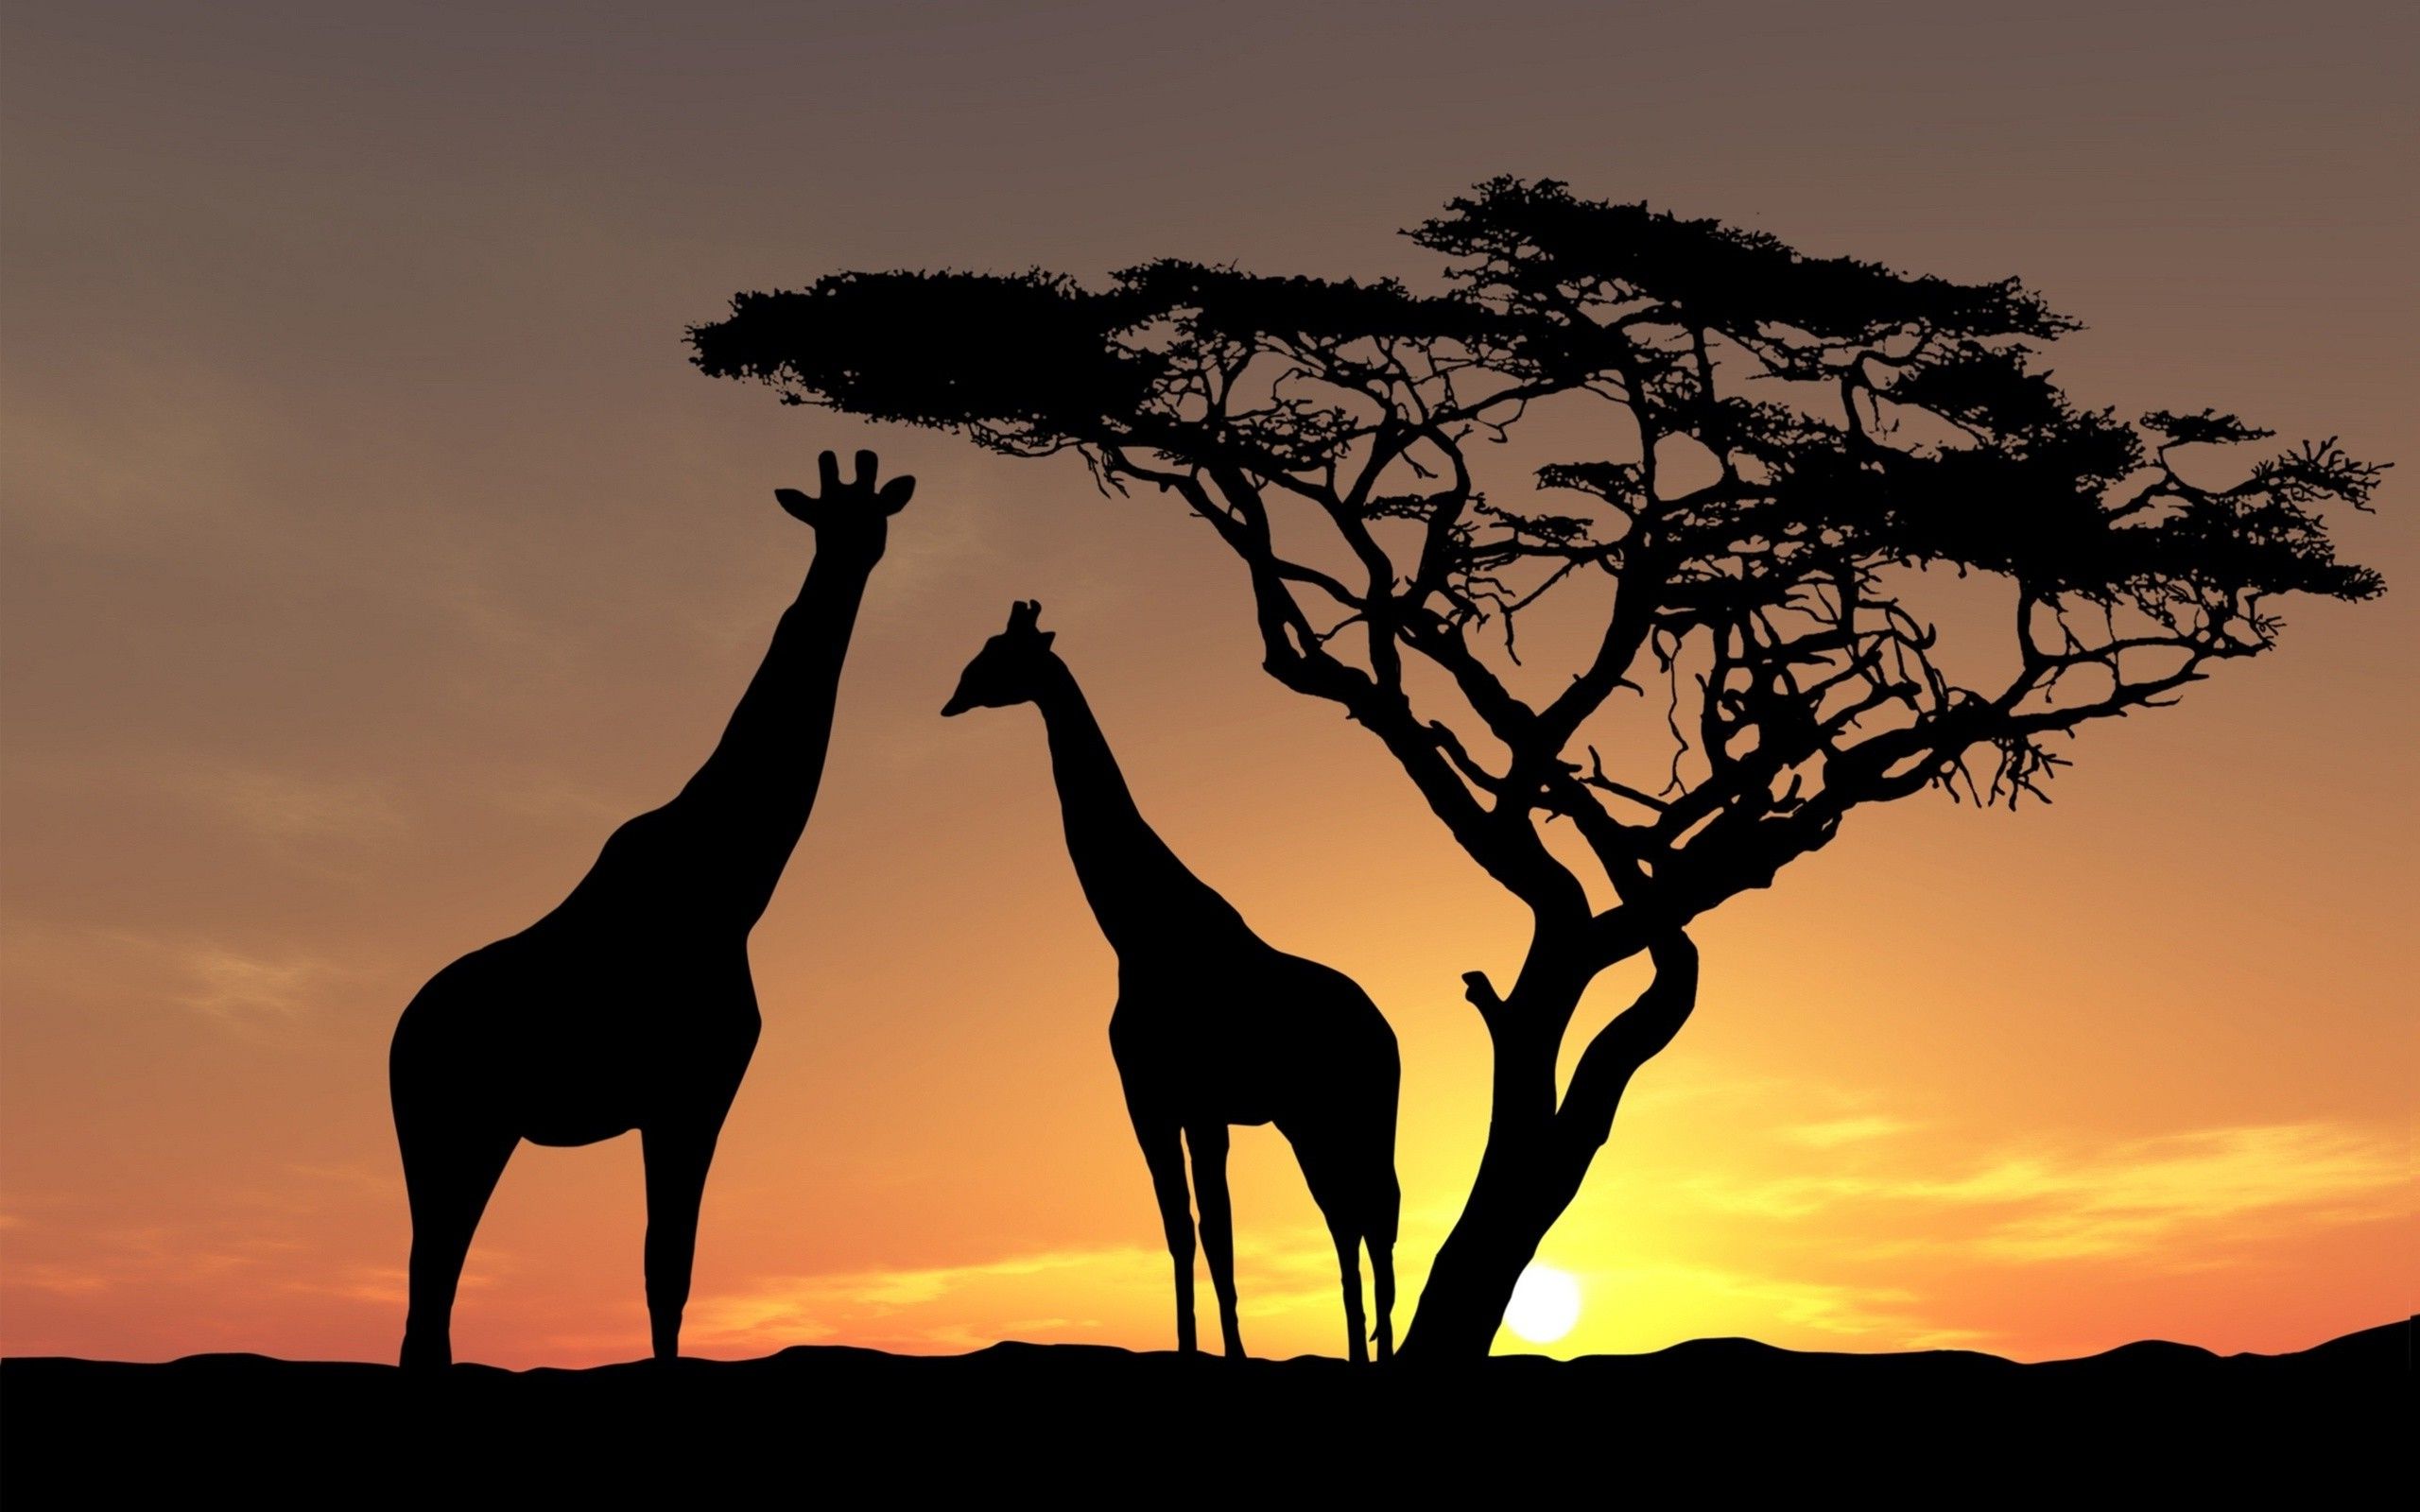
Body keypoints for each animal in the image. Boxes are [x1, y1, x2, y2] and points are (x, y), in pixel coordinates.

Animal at [387, 449, 913, 1368]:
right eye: (824, 520)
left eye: (874, 517)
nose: (853, 560)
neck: (732, 888)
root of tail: (395, 1042)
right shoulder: (689, 1091)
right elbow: (667, 1270)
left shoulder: (689, 1095)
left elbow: (669, 1273)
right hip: (453, 1127)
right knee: (430, 1289)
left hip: (471, 1132)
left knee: (431, 1297)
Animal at [943, 601, 1402, 1362]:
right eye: (980, 651)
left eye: (1000, 656)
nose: (952, 698)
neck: (1138, 933)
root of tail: (1387, 1031)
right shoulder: (1150, 1100)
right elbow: (1179, 1230)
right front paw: (1190, 1349)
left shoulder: (1203, 1103)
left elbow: (1218, 1229)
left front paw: (1236, 1354)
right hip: (1309, 1121)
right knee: (1351, 1215)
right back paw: (1363, 1348)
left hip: (1352, 1111)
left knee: (1371, 1213)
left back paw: (1376, 1350)